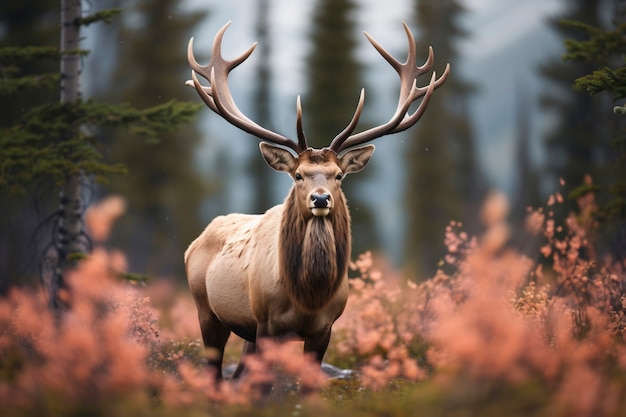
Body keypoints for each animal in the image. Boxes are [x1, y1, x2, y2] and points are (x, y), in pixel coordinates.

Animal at [183, 21, 446, 378]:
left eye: (339, 175)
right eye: (298, 175)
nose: (320, 200)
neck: (309, 298)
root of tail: (195, 242)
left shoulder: (325, 329)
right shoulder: (267, 324)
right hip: (207, 310)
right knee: (214, 373)